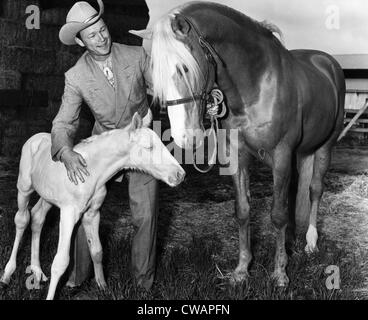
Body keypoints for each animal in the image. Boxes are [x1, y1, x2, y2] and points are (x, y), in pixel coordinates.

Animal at [0, 111, 184, 298]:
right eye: (149, 147)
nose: (180, 174)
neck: (92, 173)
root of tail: (35, 137)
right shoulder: (68, 214)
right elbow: (61, 261)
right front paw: (51, 296)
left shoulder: (92, 213)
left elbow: (96, 250)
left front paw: (103, 286)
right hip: (24, 188)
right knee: (22, 220)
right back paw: (8, 274)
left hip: (47, 197)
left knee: (37, 217)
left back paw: (37, 272)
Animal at [134, 1, 346, 286]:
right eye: (153, 73)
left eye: (184, 67)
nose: (186, 137)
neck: (256, 86)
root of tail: (327, 62)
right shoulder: (236, 156)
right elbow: (243, 211)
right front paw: (242, 270)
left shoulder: (280, 155)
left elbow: (277, 214)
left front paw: (280, 273)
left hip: (324, 148)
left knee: (314, 190)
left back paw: (311, 243)